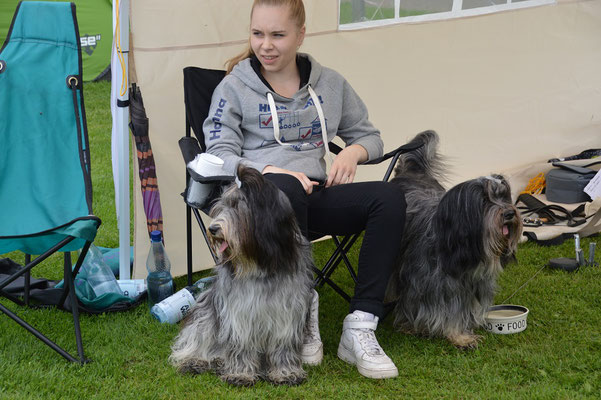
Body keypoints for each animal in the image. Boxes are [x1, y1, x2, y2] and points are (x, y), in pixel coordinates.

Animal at [168, 166, 312, 388]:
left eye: (238, 206)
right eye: (221, 207)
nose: (213, 229)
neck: (260, 265)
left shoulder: (287, 312)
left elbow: (283, 345)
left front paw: (285, 373)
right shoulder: (240, 312)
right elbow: (241, 344)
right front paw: (241, 374)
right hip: (205, 314)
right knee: (197, 341)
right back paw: (197, 361)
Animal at [390, 130, 520, 346]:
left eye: (504, 196)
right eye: (484, 200)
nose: (510, 213)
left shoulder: (471, 283)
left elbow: (459, 308)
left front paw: (460, 334)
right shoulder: (423, 283)